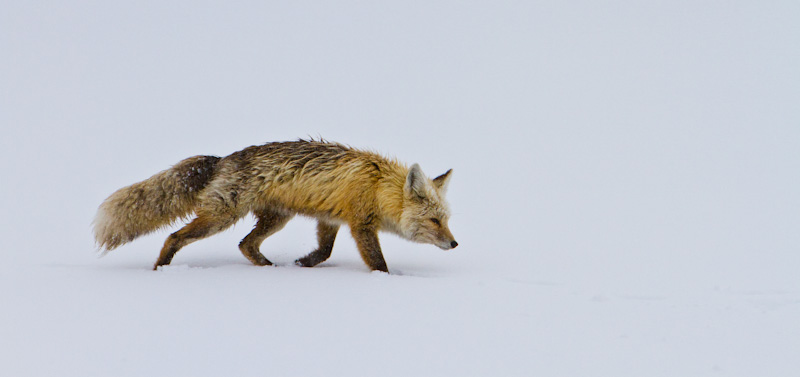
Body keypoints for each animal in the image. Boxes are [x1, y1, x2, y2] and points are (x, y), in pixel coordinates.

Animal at [94, 138, 456, 270]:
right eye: (435, 221)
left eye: (447, 220)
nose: (454, 244)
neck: (378, 185)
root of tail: (222, 159)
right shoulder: (361, 224)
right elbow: (378, 262)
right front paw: (388, 281)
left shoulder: (331, 219)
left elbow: (325, 251)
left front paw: (306, 263)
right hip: (220, 218)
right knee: (174, 237)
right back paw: (161, 269)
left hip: (276, 219)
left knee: (245, 244)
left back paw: (268, 268)